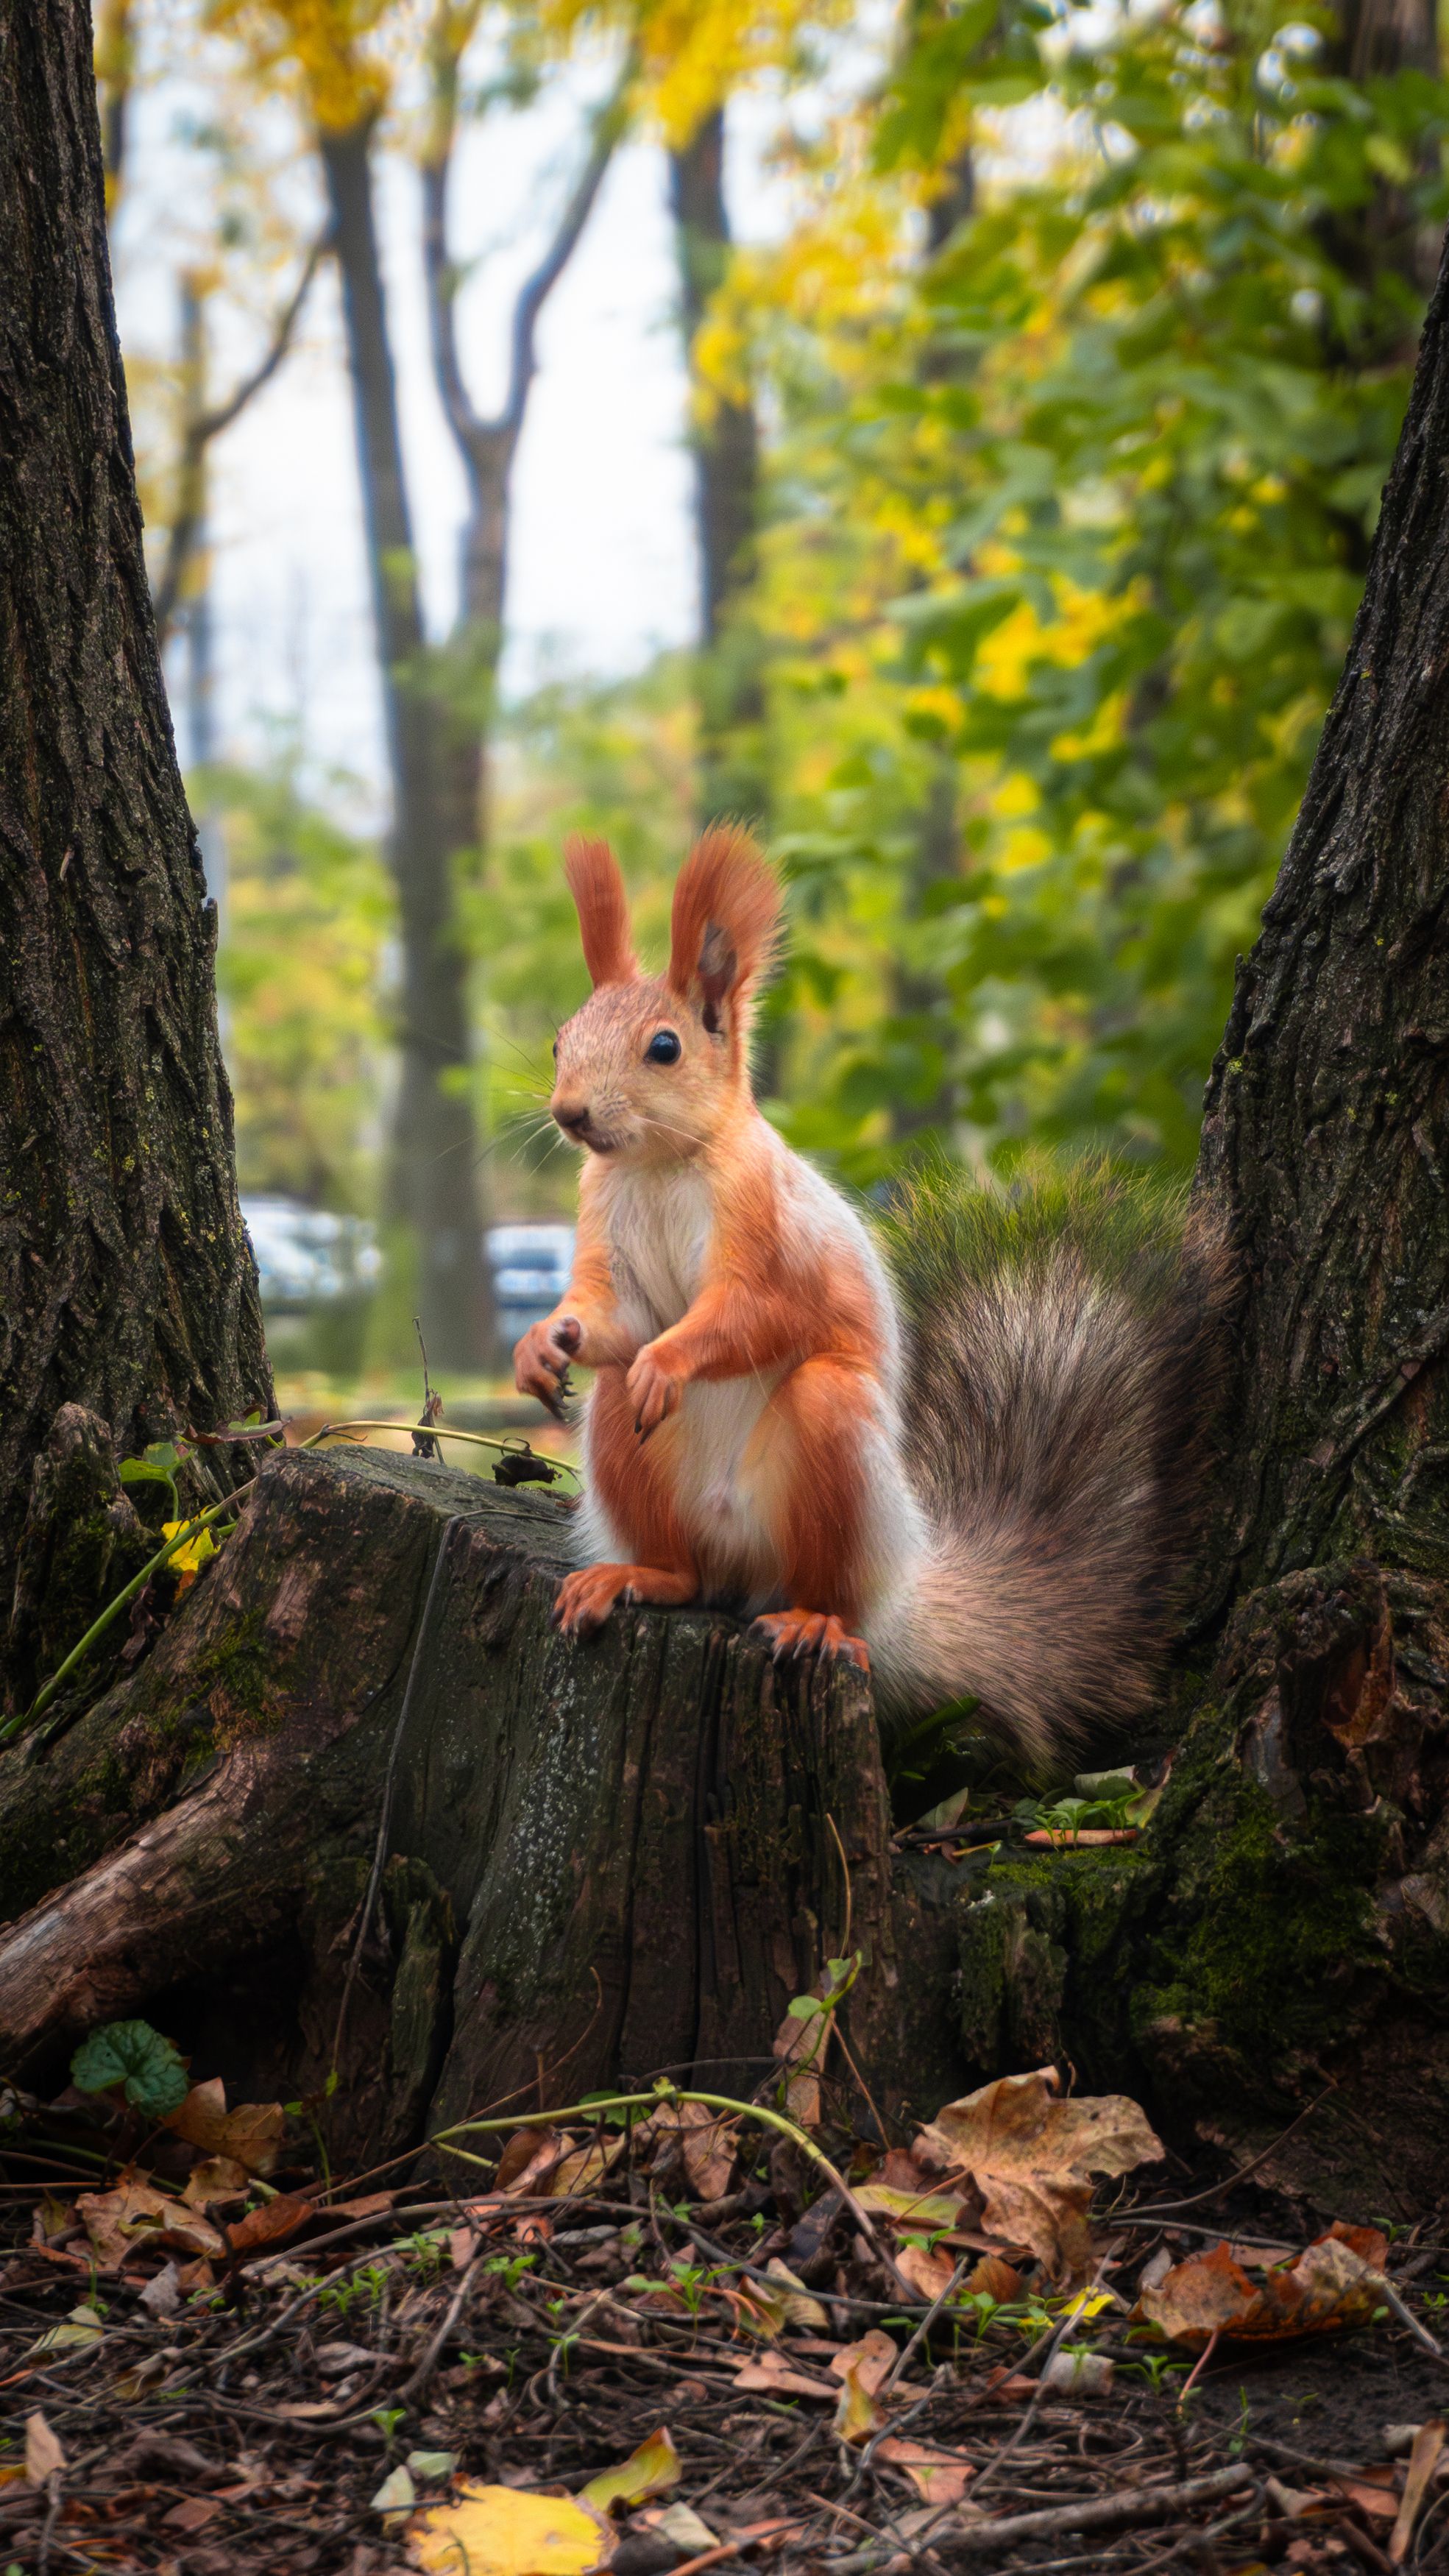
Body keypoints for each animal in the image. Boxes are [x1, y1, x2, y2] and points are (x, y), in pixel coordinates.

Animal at [514, 824, 1233, 1758]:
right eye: (560, 1040)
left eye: (663, 1047)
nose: (569, 1114)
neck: (660, 1165)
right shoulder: (603, 1221)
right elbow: (616, 1316)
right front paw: (542, 1343)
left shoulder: (770, 1233)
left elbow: (757, 1314)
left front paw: (668, 1361)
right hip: (639, 1467)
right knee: (681, 1550)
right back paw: (641, 1572)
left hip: (835, 1463)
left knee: (824, 1584)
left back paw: (814, 1622)